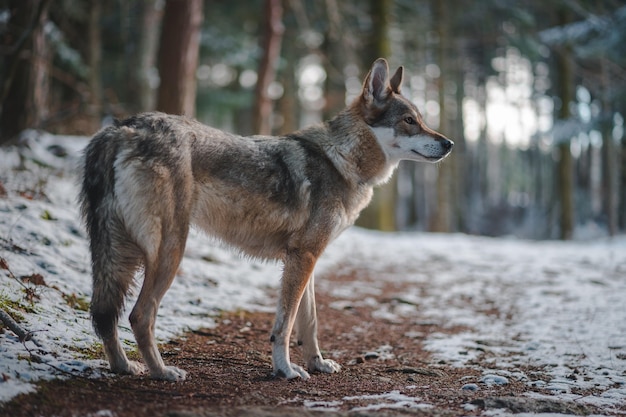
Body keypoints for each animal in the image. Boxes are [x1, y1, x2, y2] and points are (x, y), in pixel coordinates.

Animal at [79, 57, 454, 380]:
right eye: (409, 121)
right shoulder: (302, 257)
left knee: (105, 316)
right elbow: (284, 326)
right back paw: (162, 372)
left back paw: (124, 367)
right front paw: (285, 370)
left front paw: (317, 364)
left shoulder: (307, 259)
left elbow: (310, 323)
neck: (341, 160)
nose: (449, 143)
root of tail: (120, 128)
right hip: (169, 251)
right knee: (139, 315)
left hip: (119, 253)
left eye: (421, 119)